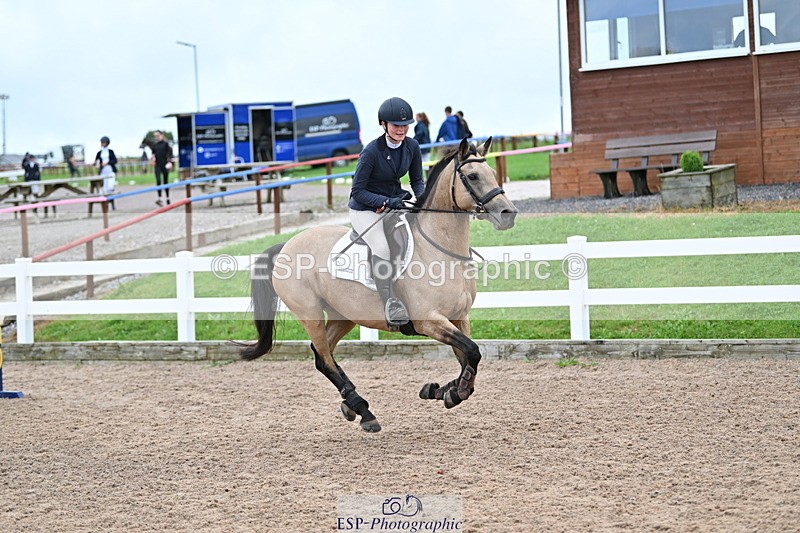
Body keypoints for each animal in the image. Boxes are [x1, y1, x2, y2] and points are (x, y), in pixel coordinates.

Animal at [240, 137, 518, 432]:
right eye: (473, 176)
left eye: (493, 173)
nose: (508, 214)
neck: (440, 250)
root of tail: (285, 245)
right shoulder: (429, 321)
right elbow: (472, 352)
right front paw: (453, 391)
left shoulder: (458, 318)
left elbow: (468, 358)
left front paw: (444, 390)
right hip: (310, 313)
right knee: (324, 358)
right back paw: (363, 411)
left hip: (343, 315)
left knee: (322, 353)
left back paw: (351, 405)